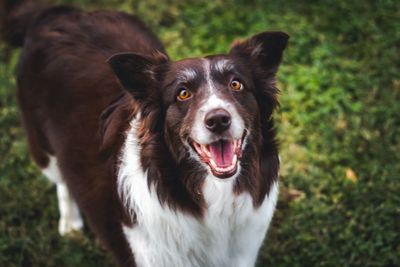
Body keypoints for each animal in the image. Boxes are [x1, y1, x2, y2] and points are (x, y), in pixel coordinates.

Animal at [0, 1, 288, 266]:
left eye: (236, 84)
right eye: (183, 93)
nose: (218, 120)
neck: (212, 195)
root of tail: (57, 13)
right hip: (43, 147)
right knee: (62, 179)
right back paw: (70, 223)